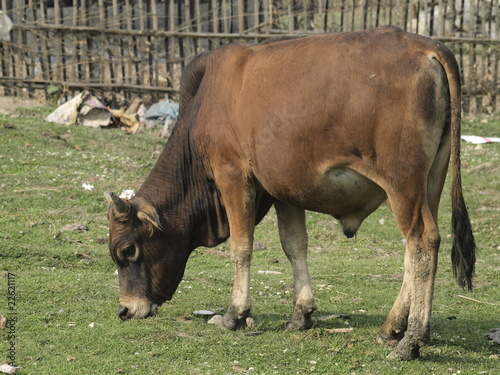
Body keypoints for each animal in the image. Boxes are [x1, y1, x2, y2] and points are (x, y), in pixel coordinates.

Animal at [106, 26, 476, 362]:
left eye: (127, 250)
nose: (125, 310)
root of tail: (426, 48)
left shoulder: (233, 175)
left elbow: (241, 248)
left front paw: (234, 314)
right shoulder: (282, 190)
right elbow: (294, 246)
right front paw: (301, 313)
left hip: (402, 183)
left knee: (422, 244)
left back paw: (410, 340)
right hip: (430, 181)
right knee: (419, 248)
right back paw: (393, 327)